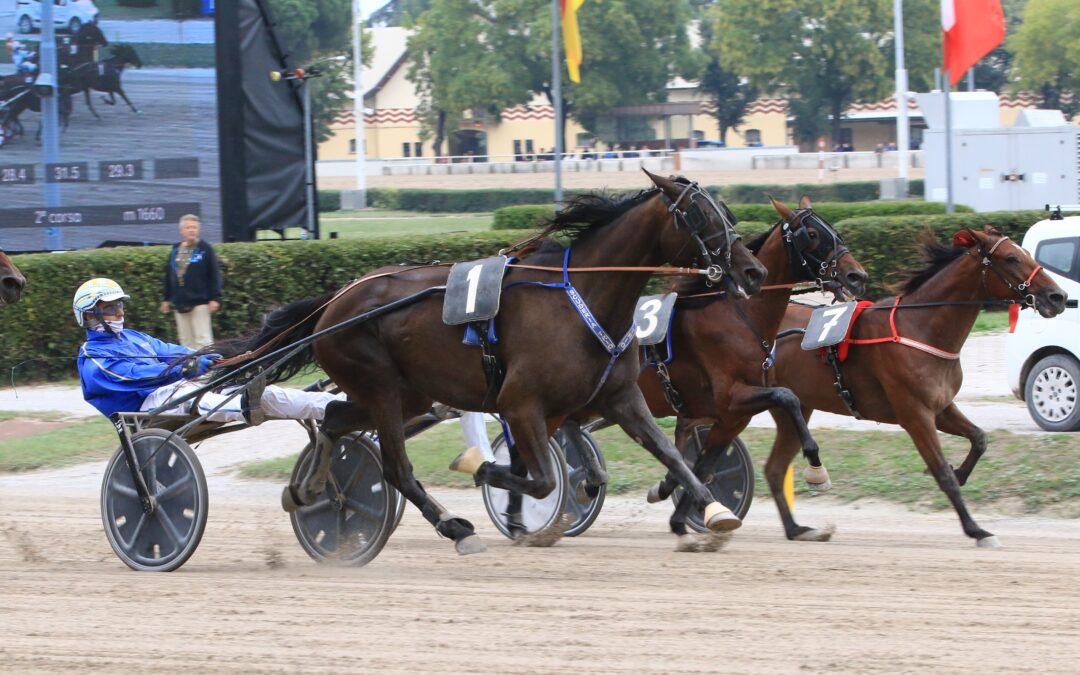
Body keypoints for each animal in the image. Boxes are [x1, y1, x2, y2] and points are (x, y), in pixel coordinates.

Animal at [217, 170, 768, 557]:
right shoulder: (520, 401)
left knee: (332, 418)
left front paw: (714, 511)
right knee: (394, 466)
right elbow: (542, 478)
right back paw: (454, 527)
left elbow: (671, 456)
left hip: (406, 391)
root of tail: (335, 301)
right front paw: (486, 472)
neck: (582, 295)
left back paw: (305, 490)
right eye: (699, 216)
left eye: (726, 211)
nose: (753, 271)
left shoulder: (620, 396)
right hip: (379, 386)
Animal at [635, 194, 872, 542]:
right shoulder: (733, 397)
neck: (740, 316)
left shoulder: (732, 415)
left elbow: (702, 466)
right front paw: (816, 467)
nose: (857, 276)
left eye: (836, 232)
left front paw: (679, 513)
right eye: (812, 234)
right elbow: (787, 396)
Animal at [764, 226, 1067, 548]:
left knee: (774, 469)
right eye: (1011, 258)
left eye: (1026, 254)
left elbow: (979, 438)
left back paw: (797, 529)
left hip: (794, 408)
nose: (1058, 296)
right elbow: (942, 472)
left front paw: (961, 474)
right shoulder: (915, 414)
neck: (920, 327)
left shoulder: (941, 407)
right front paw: (976, 529)